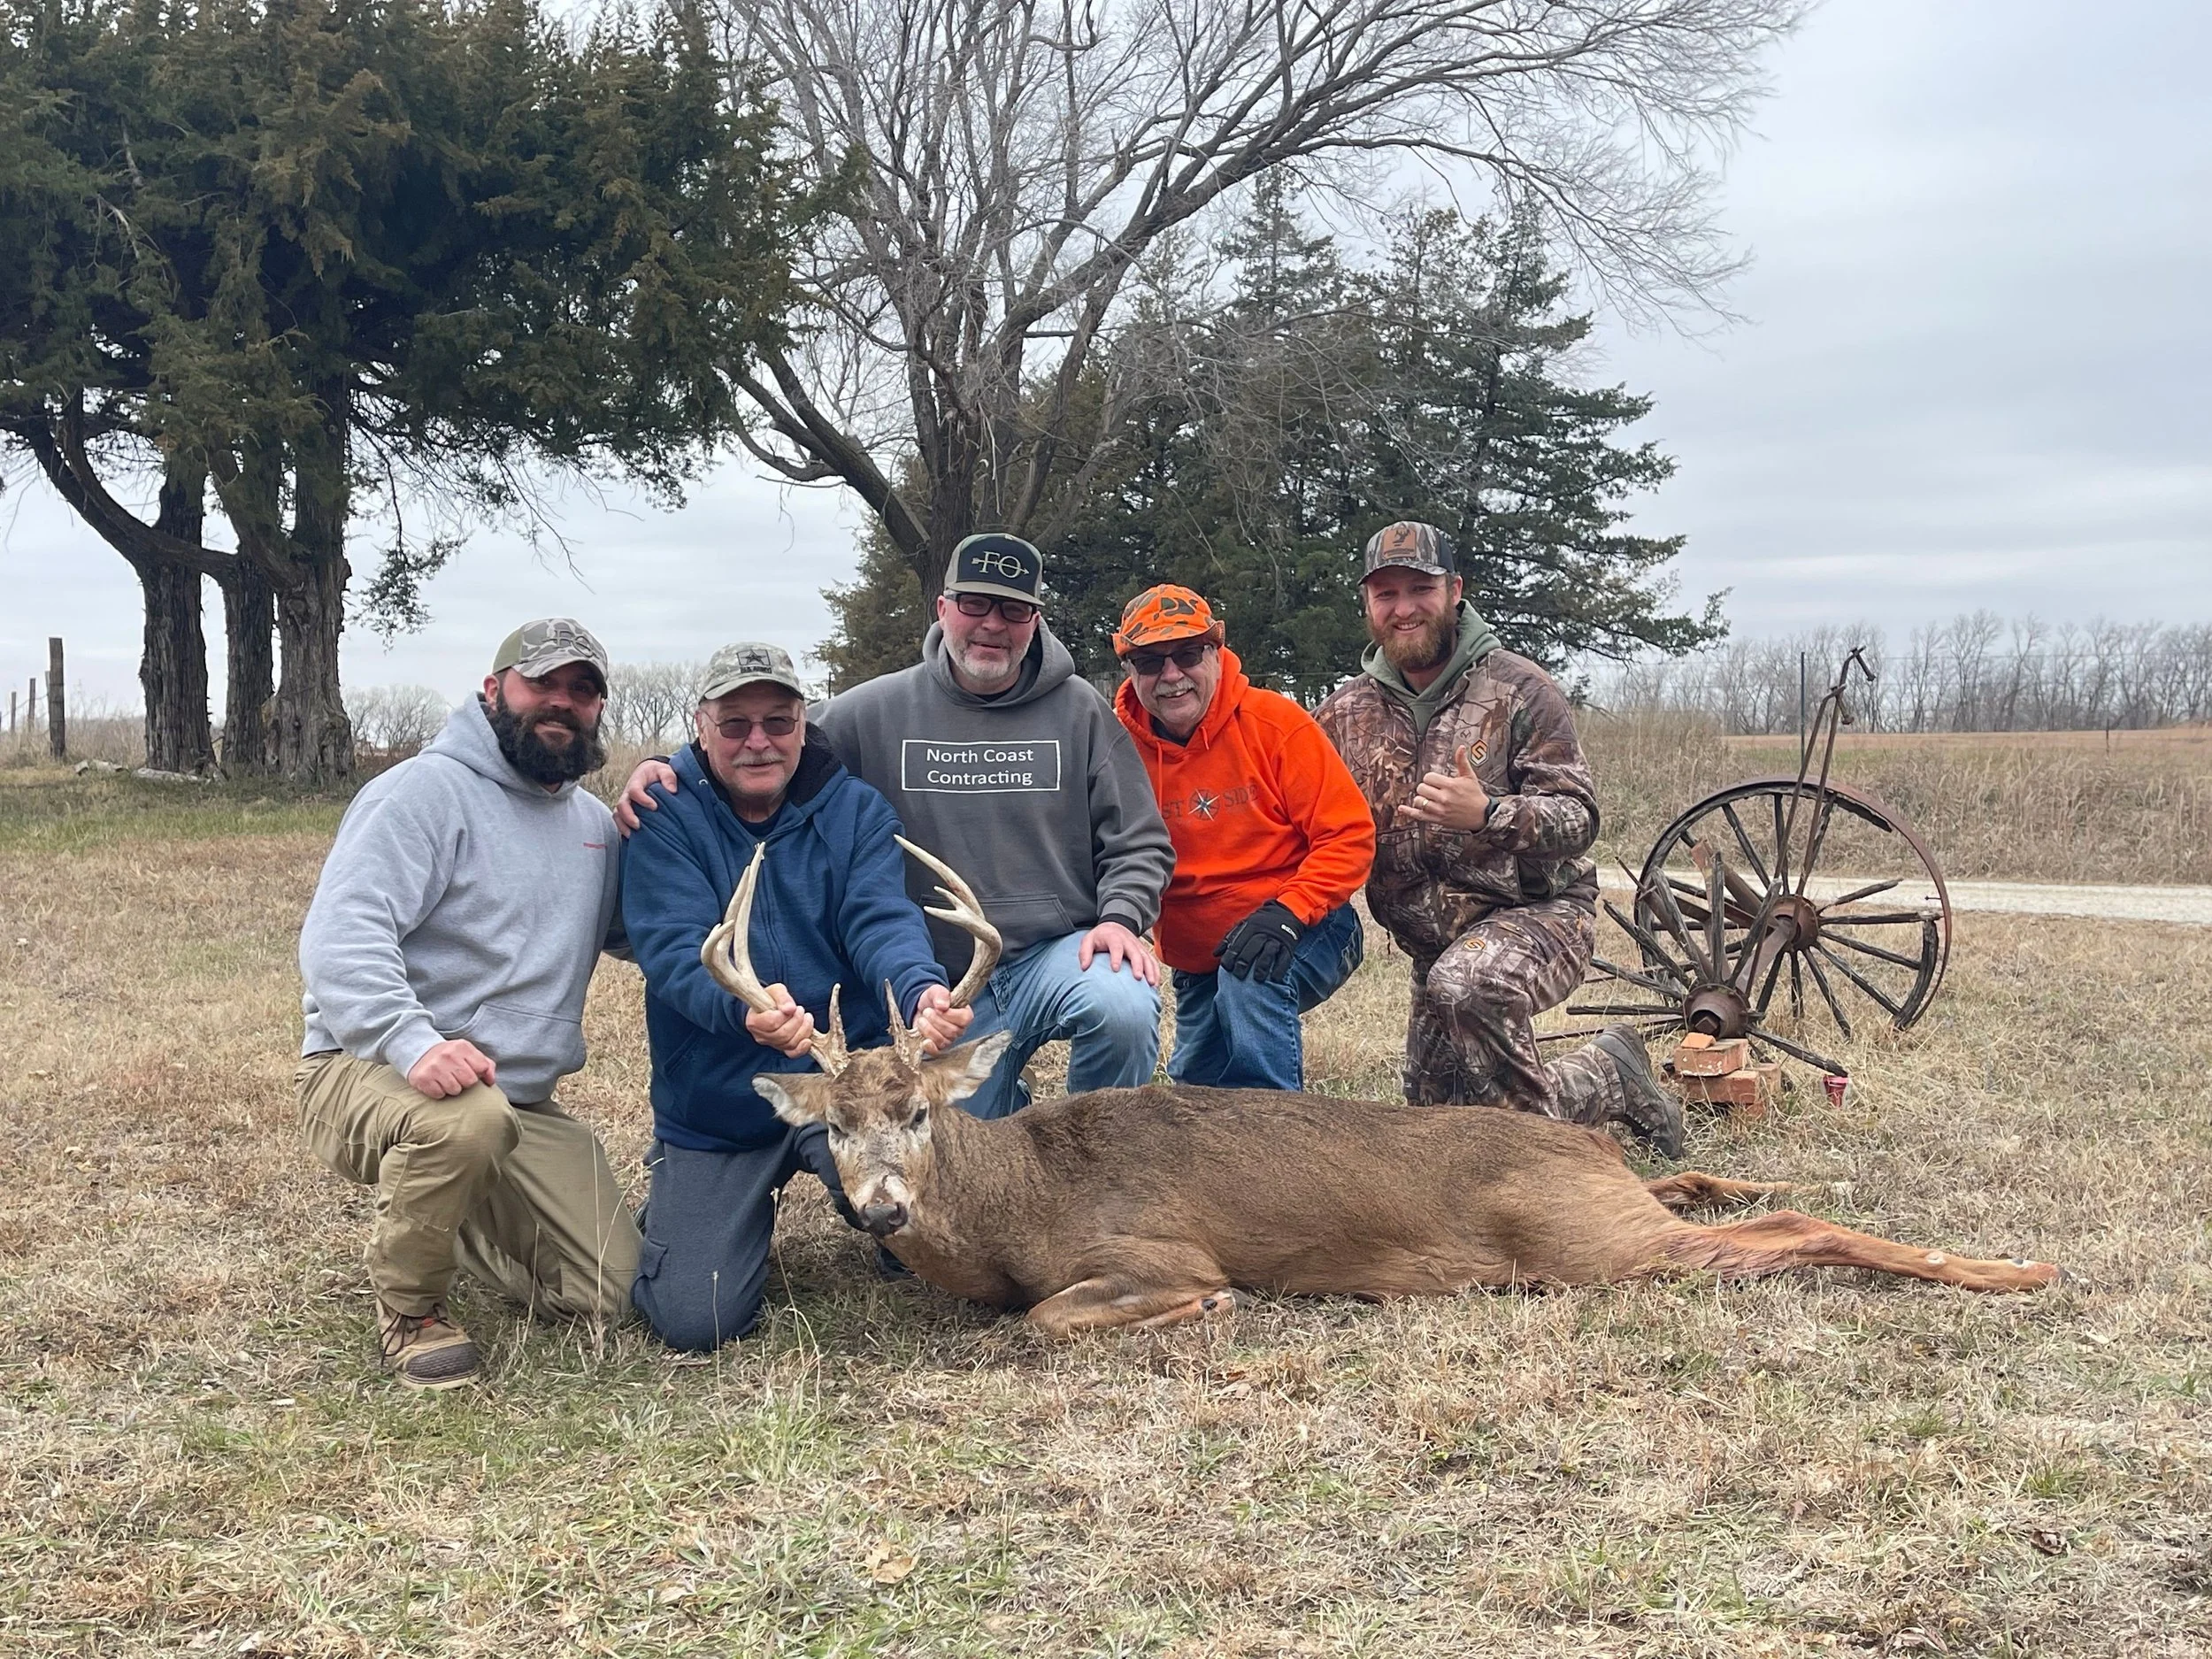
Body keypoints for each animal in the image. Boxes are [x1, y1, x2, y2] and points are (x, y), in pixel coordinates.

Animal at [703, 842, 2062, 1337]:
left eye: (920, 1109)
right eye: (828, 1128)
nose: (880, 1207)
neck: (1017, 1205)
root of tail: (1579, 1163)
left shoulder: (1151, 1248)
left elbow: (1050, 1320)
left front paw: (1205, 1311)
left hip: (1588, 1242)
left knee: (1792, 1229)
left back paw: (2018, 1269)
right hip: (1609, 1206)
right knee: (1721, 1188)